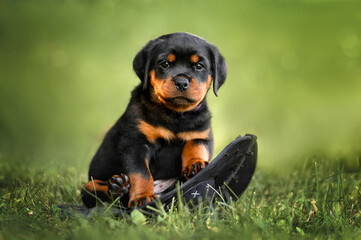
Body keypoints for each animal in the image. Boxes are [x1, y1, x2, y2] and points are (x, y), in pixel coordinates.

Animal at [82, 31, 228, 208]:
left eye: (199, 66)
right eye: (164, 64)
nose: (181, 82)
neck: (175, 115)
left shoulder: (202, 133)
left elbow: (196, 144)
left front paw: (196, 164)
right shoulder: (135, 143)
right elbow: (141, 172)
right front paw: (142, 197)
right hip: (90, 185)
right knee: (97, 192)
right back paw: (118, 187)